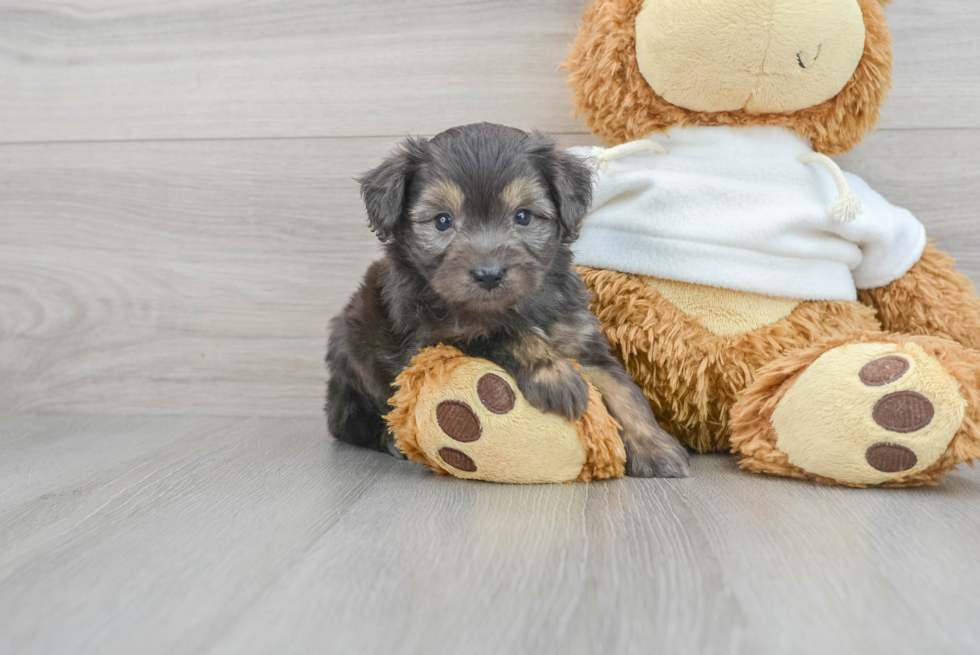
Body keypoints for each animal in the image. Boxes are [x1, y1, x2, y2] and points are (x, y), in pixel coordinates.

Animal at [326, 123, 684, 480]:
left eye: (523, 216)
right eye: (442, 221)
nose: (489, 274)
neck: (513, 306)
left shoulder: (579, 338)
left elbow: (623, 390)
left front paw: (655, 447)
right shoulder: (435, 338)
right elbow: (502, 333)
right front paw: (555, 376)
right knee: (349, 420)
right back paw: (391, 440)